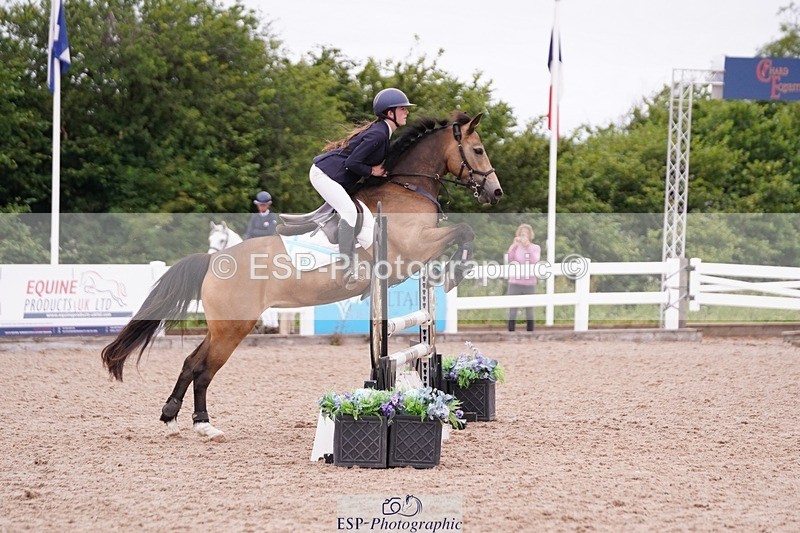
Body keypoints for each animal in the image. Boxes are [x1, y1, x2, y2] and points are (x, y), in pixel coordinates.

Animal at [101, 111, 503, 441]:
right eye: (479, 150)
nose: (496, 192)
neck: (408, 188)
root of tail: (215, 260)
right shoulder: (414, 248)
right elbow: (464, 231)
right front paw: (455, 272)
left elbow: (460, 235)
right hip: (233, 327)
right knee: (203, 370)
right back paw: (203, 424)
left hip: (223, 326)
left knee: (191, 363)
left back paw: (179, 418)